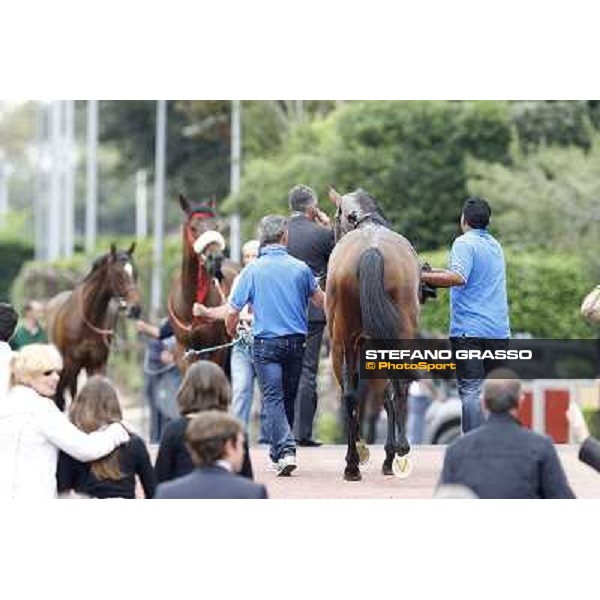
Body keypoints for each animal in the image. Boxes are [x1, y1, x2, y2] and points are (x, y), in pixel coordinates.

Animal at [46, 241, 142, 410]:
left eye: (135, 272)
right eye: (118, 273)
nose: (135, 309)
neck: (87, 321)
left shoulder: (98, 364)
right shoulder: (71, 363)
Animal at [326, 190, 420, 480]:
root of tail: (372, 250)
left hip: (341, 342)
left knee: (353, 395)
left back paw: (354, 463)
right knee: (395, 388)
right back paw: (397, 450)